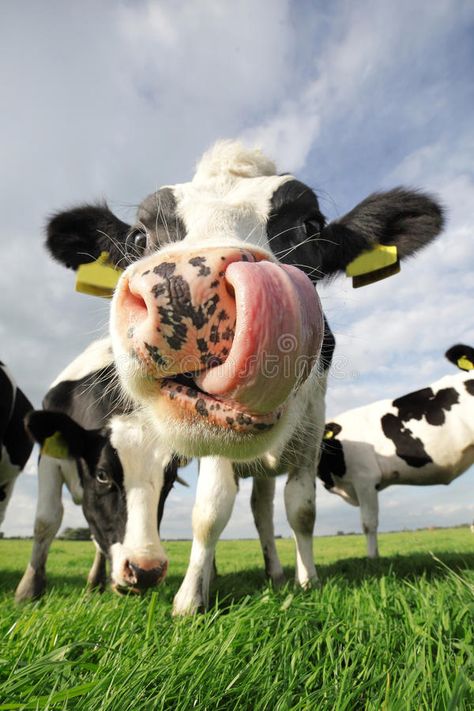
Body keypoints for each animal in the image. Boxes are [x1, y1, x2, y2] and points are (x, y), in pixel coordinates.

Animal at [42, 142, 442, 616]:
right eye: (140, 237)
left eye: (310, 225)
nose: (186, 288)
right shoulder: (212, 438)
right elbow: (210, 511)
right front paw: (190, 599)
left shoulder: (311, 432)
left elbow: (301, 510)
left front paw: (307, 580)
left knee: (263, 509)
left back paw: (275, 572)